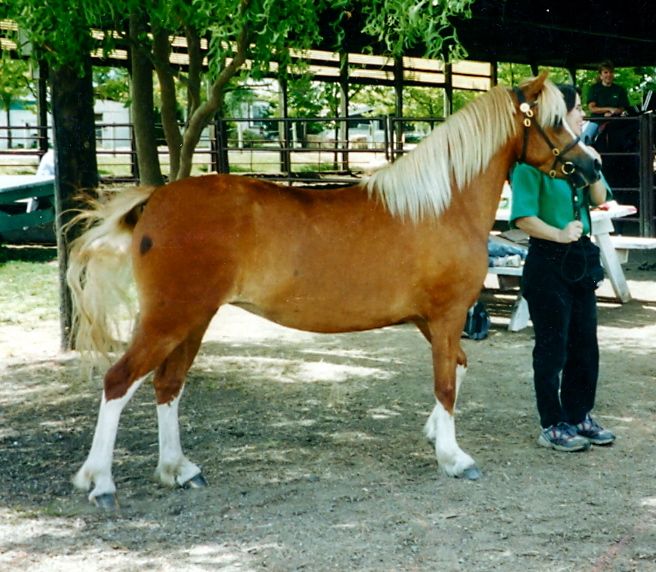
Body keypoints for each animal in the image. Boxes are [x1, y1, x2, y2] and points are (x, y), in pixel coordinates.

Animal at [67, 72, 600, 509]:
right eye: (556, 121)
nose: (590, 168)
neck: (444, 202)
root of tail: (155, 199)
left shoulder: (430, 321)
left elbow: (457, 369)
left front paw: (434, 435)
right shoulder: (447, 315)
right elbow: (447, 382)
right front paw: (454, 458)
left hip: (192, 321)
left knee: (167, 385)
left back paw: (178, 470)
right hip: (169, 318)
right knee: (119, 381)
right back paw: (100, 482)